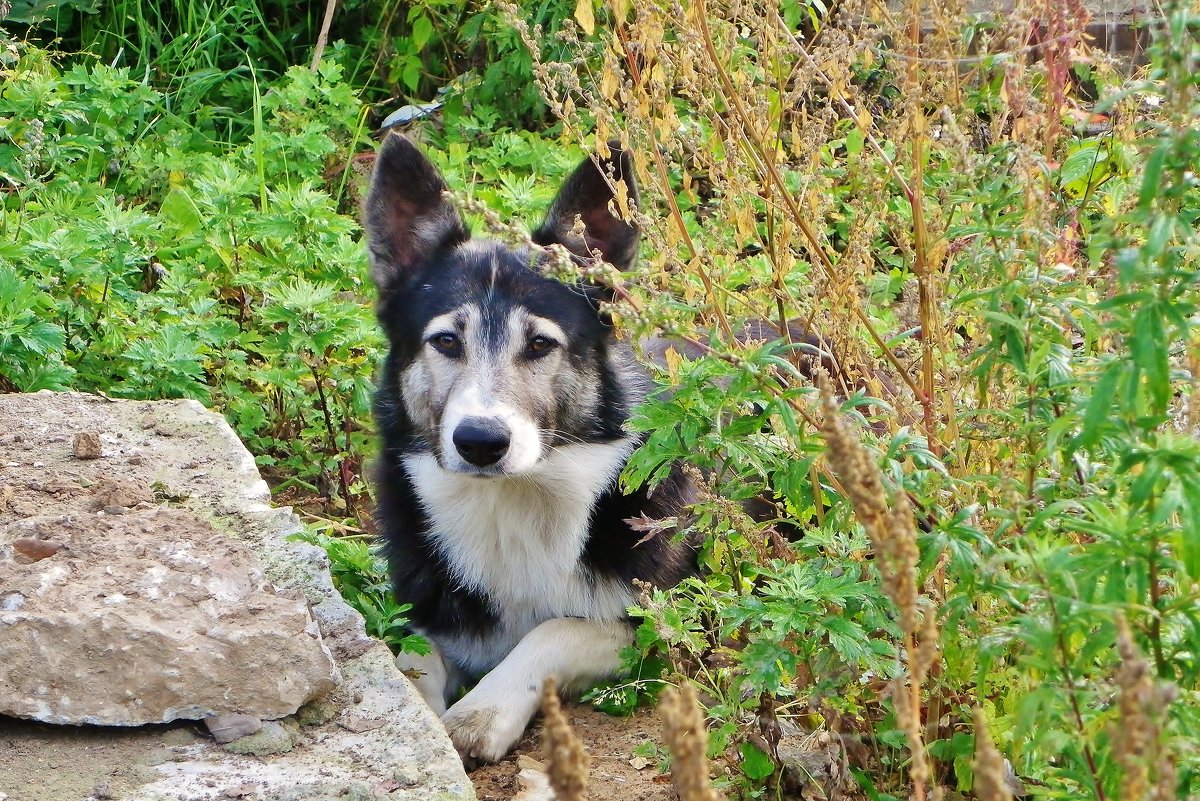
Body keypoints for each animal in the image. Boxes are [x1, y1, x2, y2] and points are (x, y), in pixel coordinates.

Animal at [369, 134, 700, 762]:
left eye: (542, 344)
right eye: (445, 341)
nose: (480, 442)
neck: (512, 503)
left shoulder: (660, 626)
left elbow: (556, 628)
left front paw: (483, 710)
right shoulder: (430, 615)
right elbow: (412, 658)